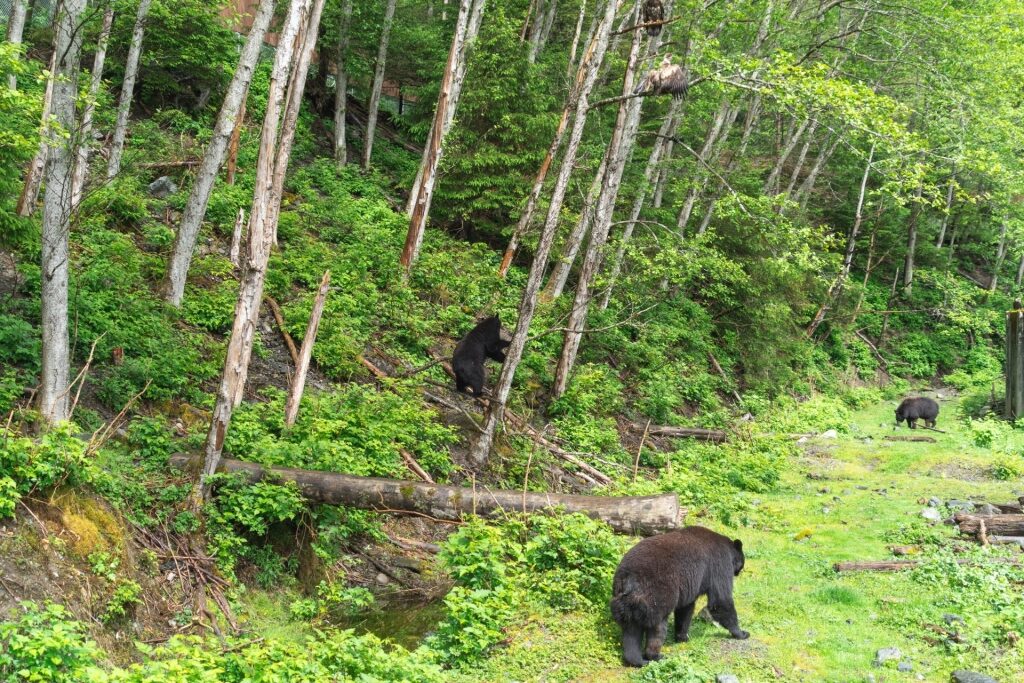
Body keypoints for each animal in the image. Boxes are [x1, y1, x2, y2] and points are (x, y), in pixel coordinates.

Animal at [606, 528, 745, 667]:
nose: (738, 572)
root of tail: (628, 579)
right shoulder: (719, 564)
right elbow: (721, 599)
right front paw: (741, 633)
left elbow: (685, 610)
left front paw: (682, 636)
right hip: (656, 595)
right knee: (657, 628)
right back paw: (655, 655)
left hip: (624, 603)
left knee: (631, 631)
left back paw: (637, 660)